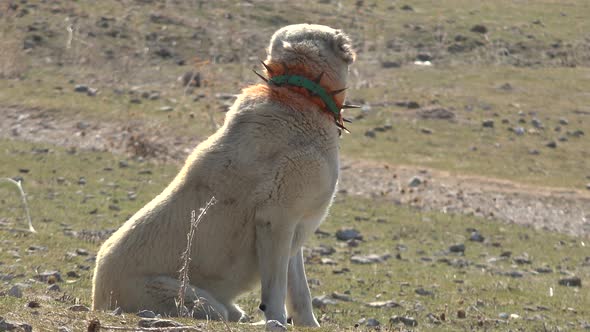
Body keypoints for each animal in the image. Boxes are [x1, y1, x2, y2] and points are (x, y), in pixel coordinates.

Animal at [93, 24, 356, 326]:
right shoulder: (276, 221)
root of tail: (97, 299)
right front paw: (276, 322)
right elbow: (276, 288)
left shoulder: (295, 228)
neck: (300, 93)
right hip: (188, 298)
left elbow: (299, 288)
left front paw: (307, 324)